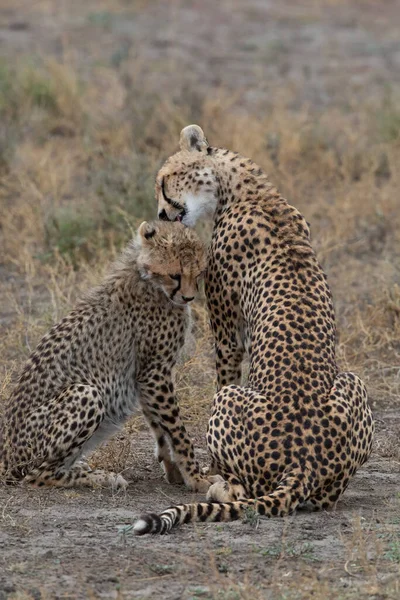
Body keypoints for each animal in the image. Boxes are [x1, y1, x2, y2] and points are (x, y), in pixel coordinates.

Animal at [0, 220, 211, 492]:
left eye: (199, 273)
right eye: (175, 274)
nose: (188, 297)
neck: (148, 279)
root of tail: (6, 454)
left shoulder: (145, 376)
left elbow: (160, 427)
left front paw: (175, 472)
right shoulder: (155, 372)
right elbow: (177, 430)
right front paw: (197, 479)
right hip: (85, 392)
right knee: (36, 475)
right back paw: (101, 477)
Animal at [134, 123, 376, 536]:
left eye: (165, 181)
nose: (161, 213)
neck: (249, 190)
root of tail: (303, 462)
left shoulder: (227, 336)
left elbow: (225, 367)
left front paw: (208, 470)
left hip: (229, 400)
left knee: (242, 489)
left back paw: (219, 486)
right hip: (354, 383)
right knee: (325, 498)